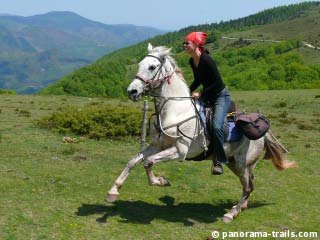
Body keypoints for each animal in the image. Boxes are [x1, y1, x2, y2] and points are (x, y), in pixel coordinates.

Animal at [106, 44, 296, 222]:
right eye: (139, 64)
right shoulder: (157, 145)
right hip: (234, 163)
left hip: (243, 163)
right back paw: (241, 206)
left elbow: (148, 161)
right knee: (249, 184)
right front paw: (113, 191)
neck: (175, 110)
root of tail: (264, 132)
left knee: (248, 186)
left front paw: (160, 181)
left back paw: (232, 213)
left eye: (152, 67)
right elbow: (134, 161)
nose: (132, 91)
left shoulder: (179, 152)